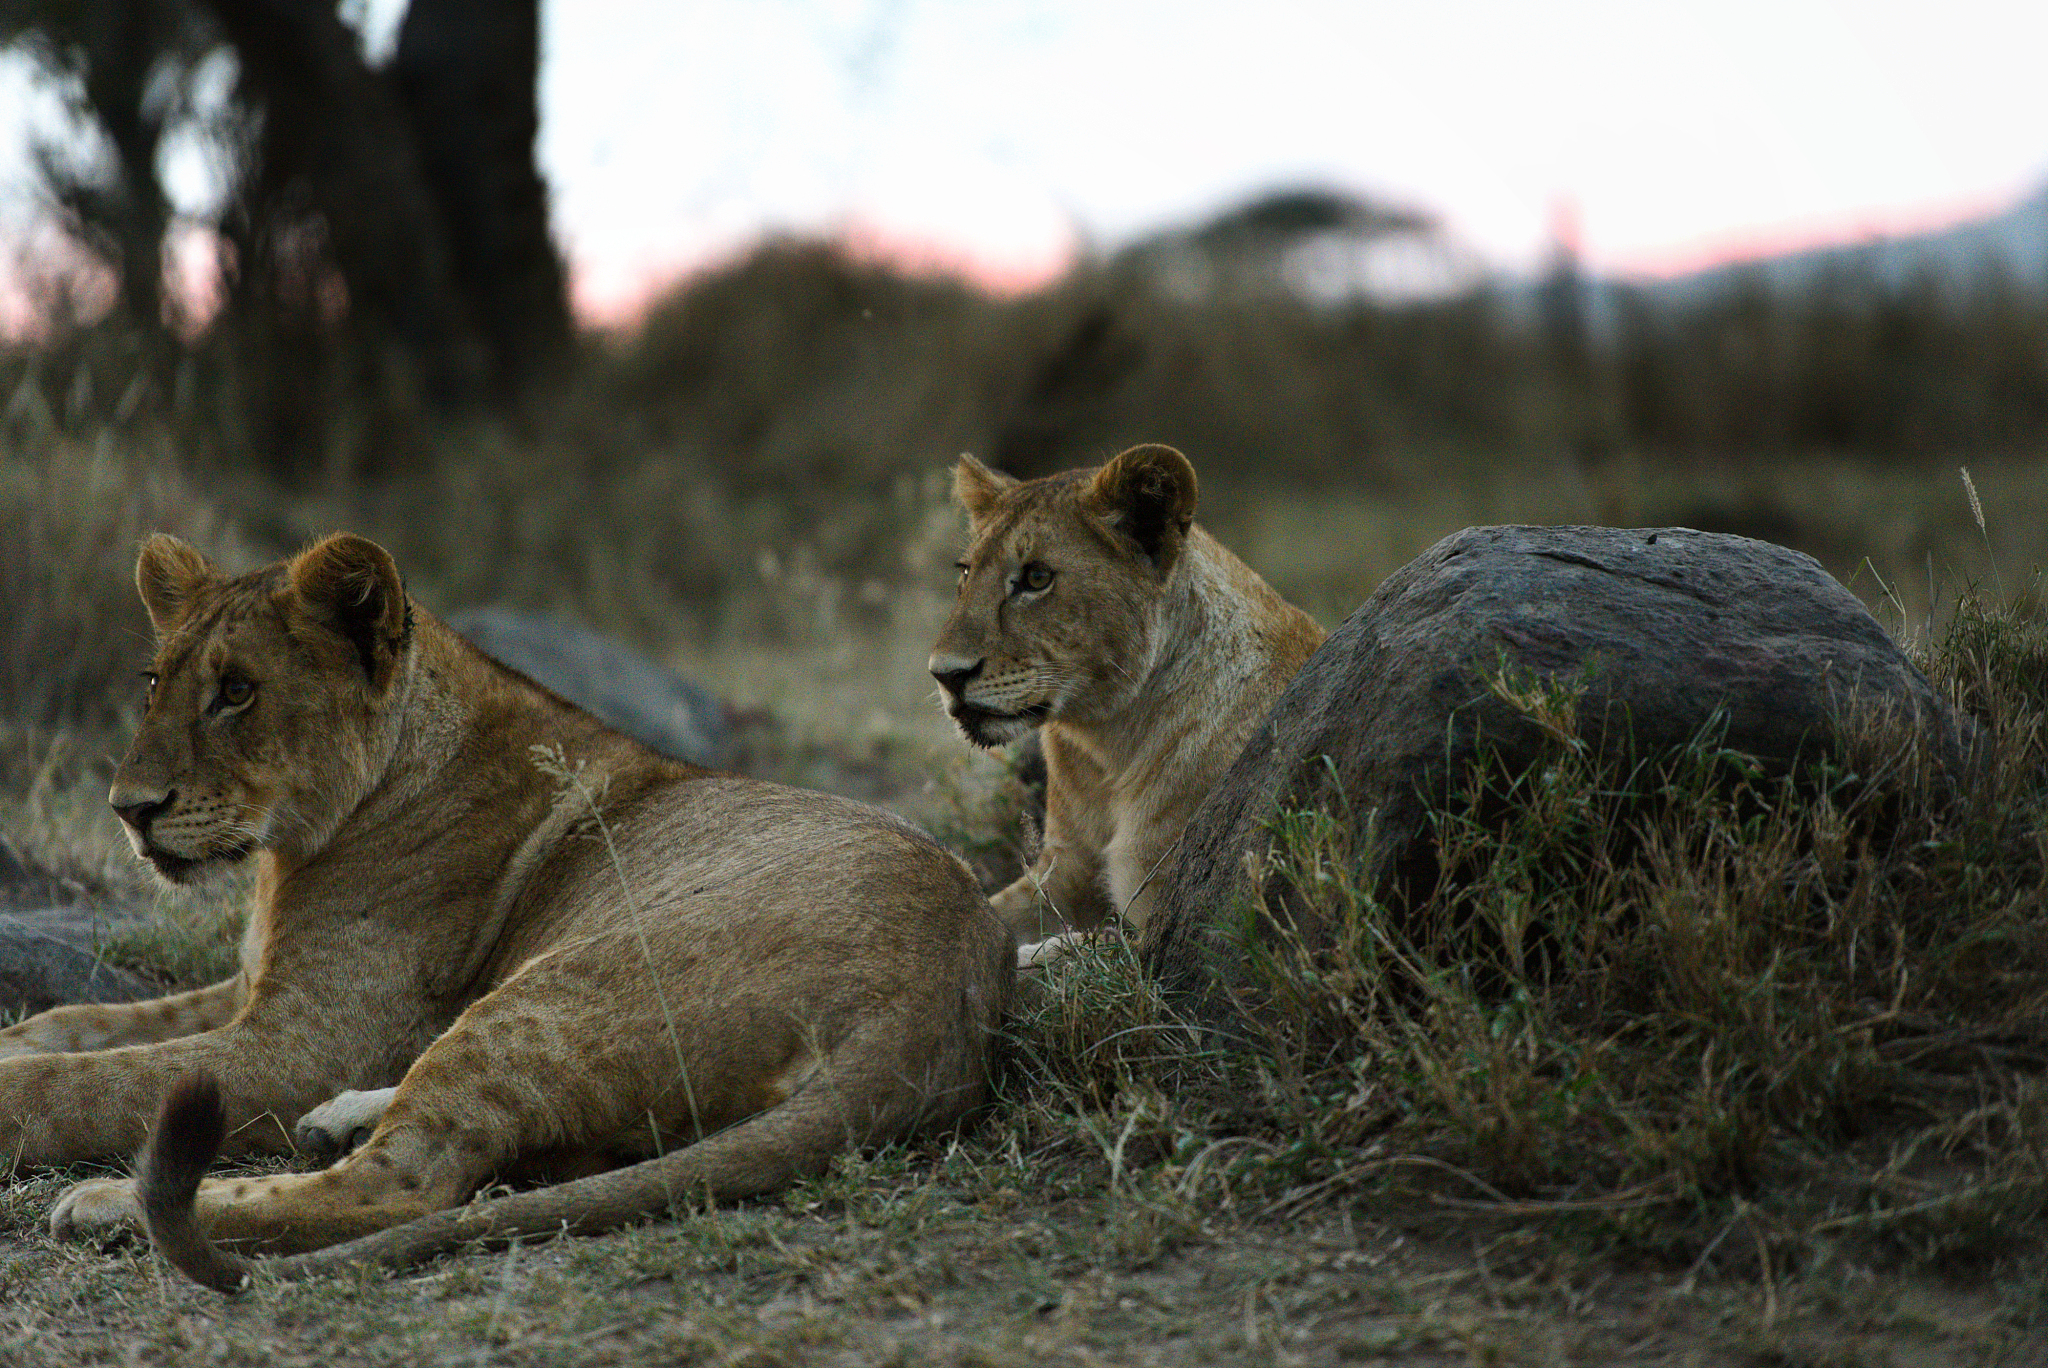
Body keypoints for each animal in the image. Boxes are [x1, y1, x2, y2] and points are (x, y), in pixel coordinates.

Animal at [5, 531, 1012, 1292]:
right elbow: (70, 1024)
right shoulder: (247, 988)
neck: (290, 852)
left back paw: (109, 1205)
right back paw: (335, 1124)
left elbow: (92, 1082)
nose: (128, 810)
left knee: (397, 1189)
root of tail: (939, 1004)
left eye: (237, 691)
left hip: (554, 991)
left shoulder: (305, 1042)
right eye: (155, 684)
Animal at [927, 444, 1326, 964]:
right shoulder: (1062, 872)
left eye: (1037, 577)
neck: (1108, 745)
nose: (945, 674)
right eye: (966, 573)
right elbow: (977, 911)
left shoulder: (1169, 927)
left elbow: (1071, 952)